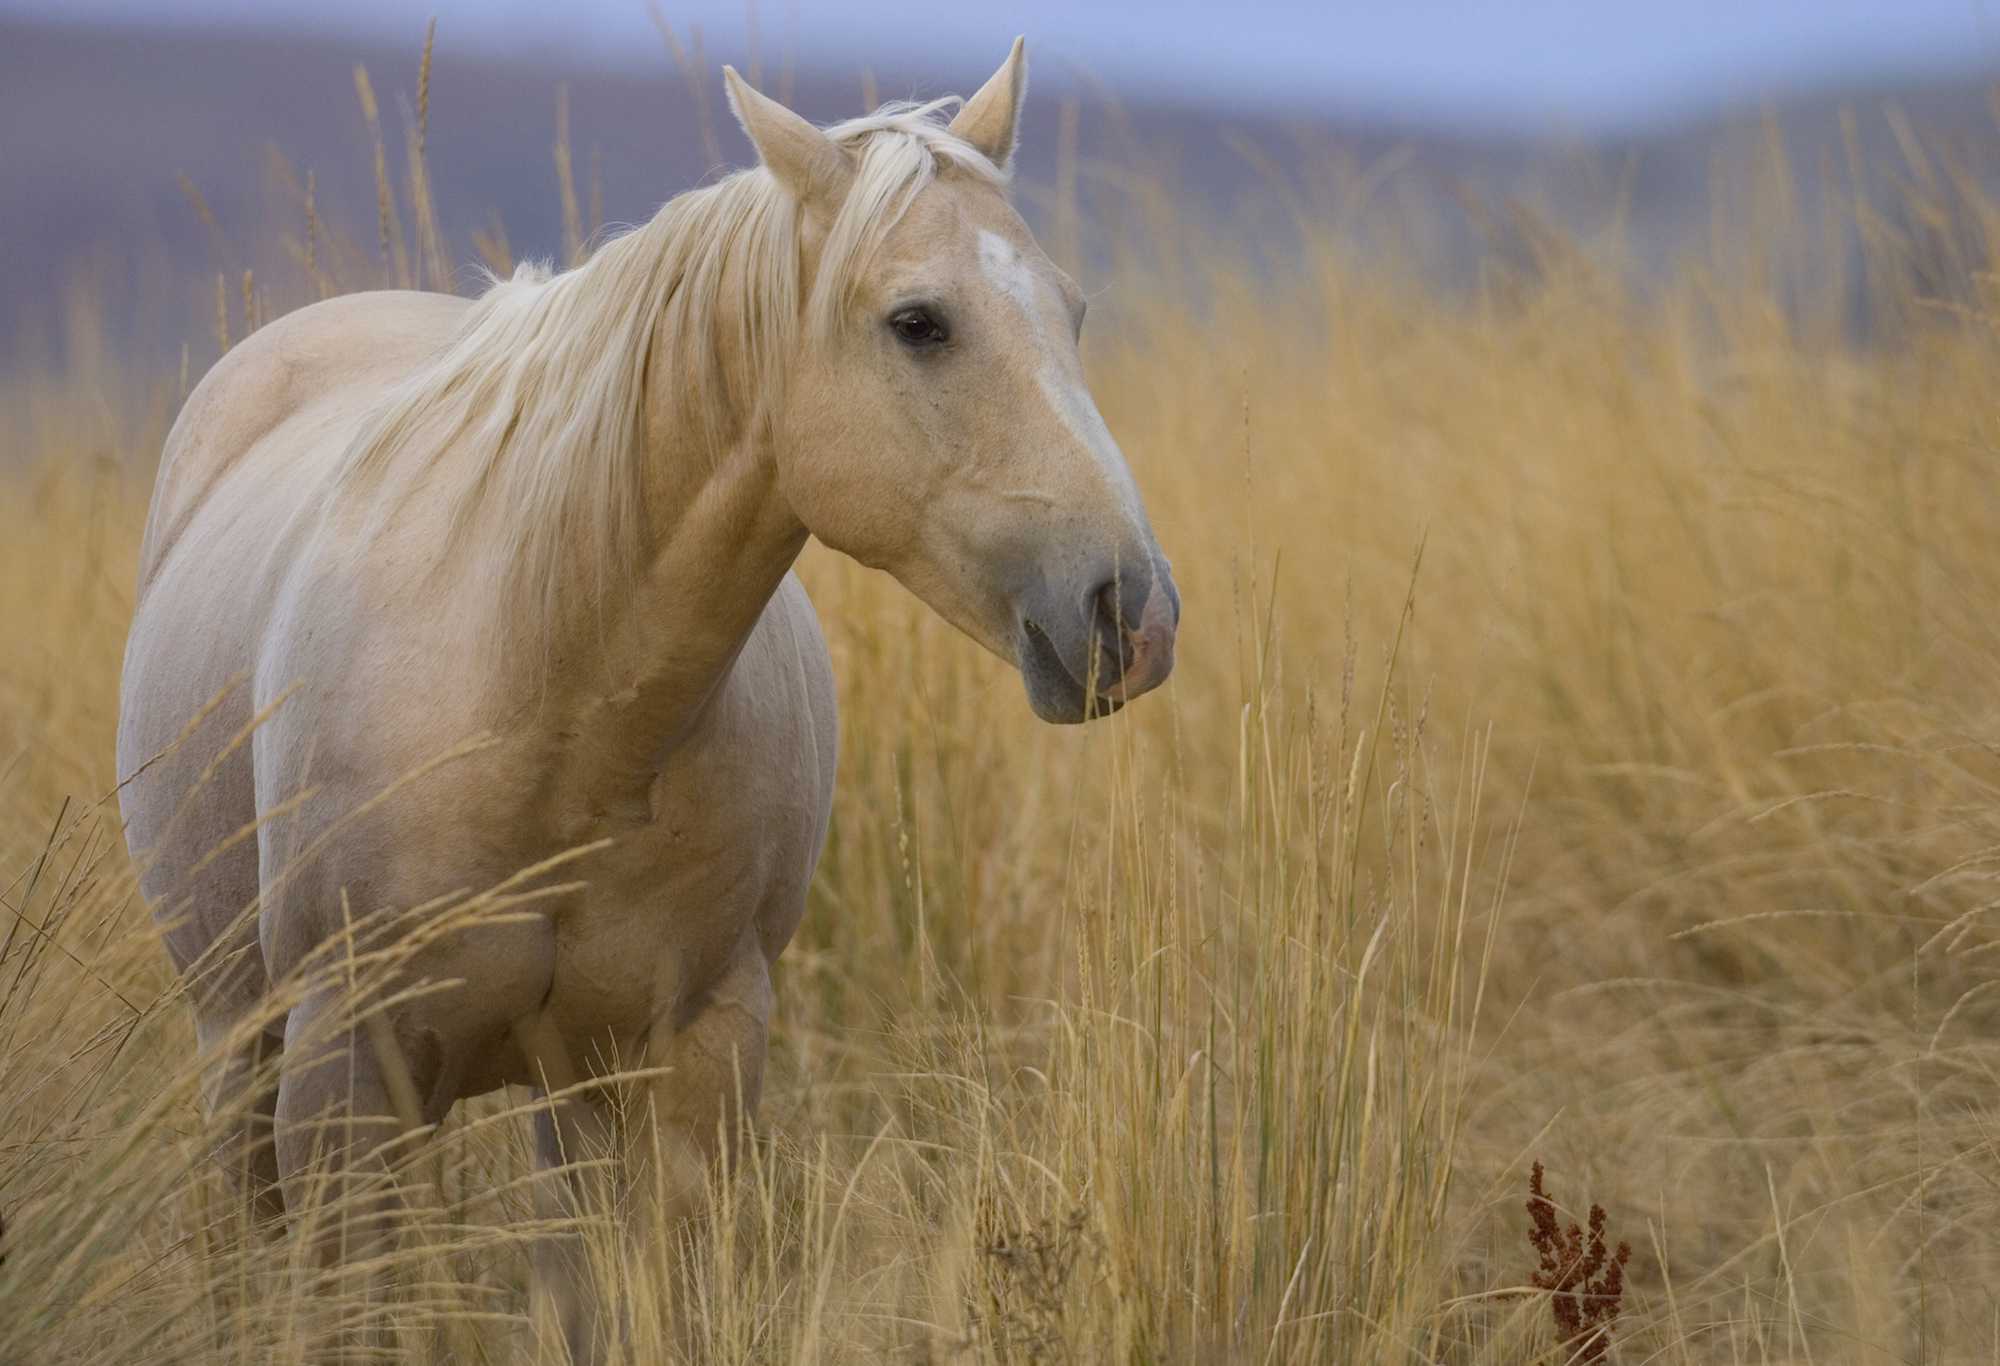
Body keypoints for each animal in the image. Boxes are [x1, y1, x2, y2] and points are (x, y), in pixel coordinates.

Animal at [117, 40, 1176, 1360]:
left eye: (1070, 311)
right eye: (917, 323)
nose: (1129, 614)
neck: (555, 702)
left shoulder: (694, 1055)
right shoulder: (341, 1060)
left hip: (561, 1097)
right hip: (239, 1043)